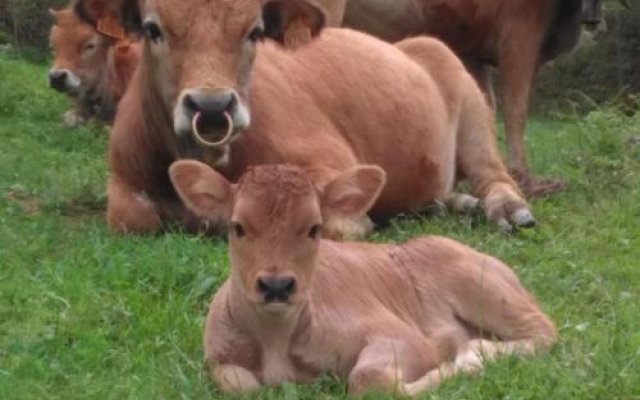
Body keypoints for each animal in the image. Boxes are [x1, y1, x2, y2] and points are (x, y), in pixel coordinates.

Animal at [72, 0, 536, 238]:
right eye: (153, 29)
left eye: (254, 31)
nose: (212, 106)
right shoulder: (124, 181)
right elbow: (134, 217)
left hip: (473, 114)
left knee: (494, 176)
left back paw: (507, 208)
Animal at [169, 160, 556, 396]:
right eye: (238, 227)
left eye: (314, 228)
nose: (276, 286)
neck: (276, 340)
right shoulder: (218, 359)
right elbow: (241, 385)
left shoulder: (400, 335)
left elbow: (368, 379)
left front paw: (455, 364)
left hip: (479, 284)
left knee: (543, 330)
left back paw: (477, 351)